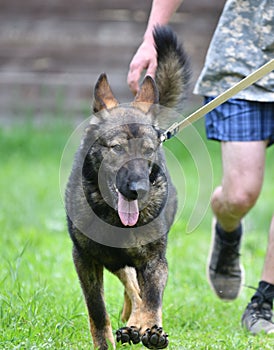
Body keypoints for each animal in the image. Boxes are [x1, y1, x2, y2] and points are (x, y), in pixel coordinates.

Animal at [66, 26, 191, 348]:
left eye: (148, 151)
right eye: (118, 148)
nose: (139, 190)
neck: (114, 218)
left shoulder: (155, 262)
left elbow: (152, 300)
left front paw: (150, 329)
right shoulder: (84, 260)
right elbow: (97, 311)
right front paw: (105, 342)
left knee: (138, 291)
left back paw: (135, 326)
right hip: (114, 263)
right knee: (131, 286)